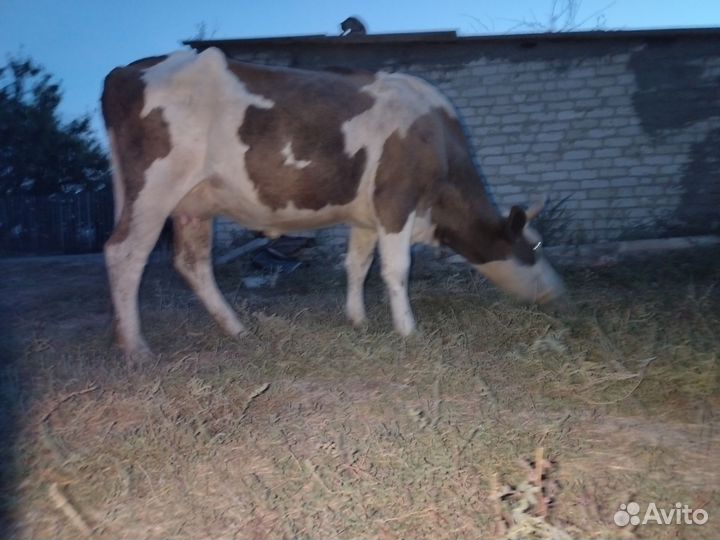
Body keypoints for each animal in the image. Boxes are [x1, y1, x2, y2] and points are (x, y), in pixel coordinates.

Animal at [101, 47, 564, 360]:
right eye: (537, 246)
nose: (560, 293)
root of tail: (128, 70)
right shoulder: (396, 200)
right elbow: (397, 269)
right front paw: (408, 330)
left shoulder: (366, 216)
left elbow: (357, 264)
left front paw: (358, 319)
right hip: (154, 186)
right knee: (125, 253)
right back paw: (136, 348)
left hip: (191, 203)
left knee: (193, 263)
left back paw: (234, 330)